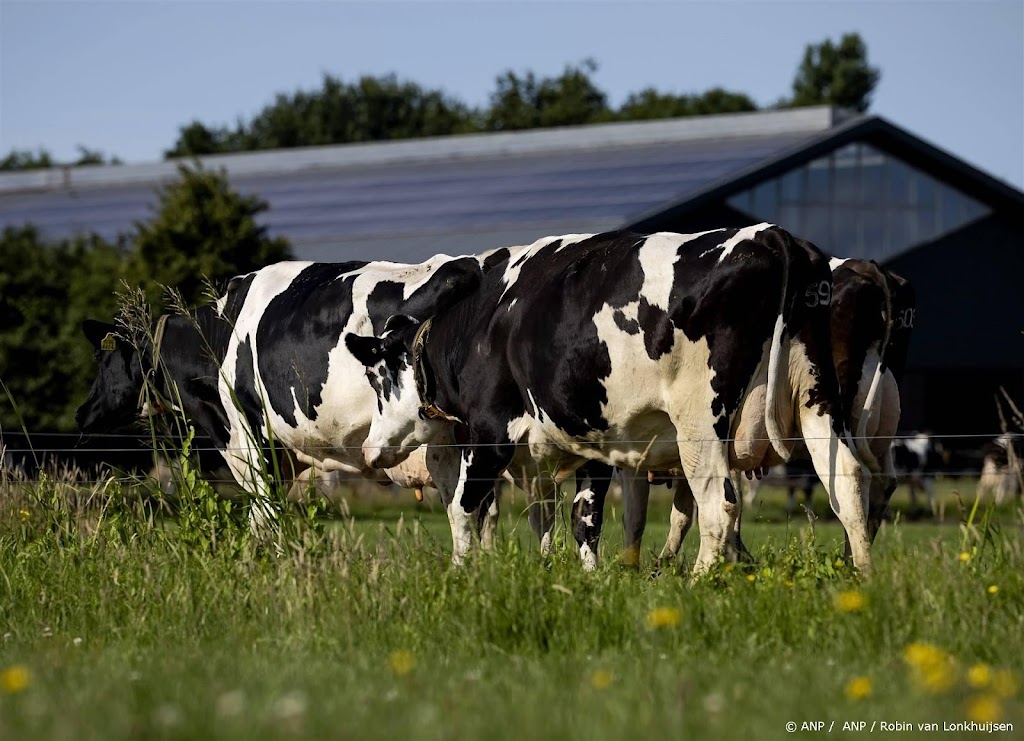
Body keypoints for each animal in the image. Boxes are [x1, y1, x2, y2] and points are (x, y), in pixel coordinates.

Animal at [346, 223, 872, 577]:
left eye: (377, 378)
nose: (370, 449)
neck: (481, 323)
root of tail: (771, 236)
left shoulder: (490, 432)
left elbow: (463, 506)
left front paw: (461, 574)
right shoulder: (591, 444)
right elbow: (584, 519)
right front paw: (588, 580)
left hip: (700, 423)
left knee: (719, 505)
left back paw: (699, 582)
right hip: (818, 402)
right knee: (847, 485)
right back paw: (863, 580)